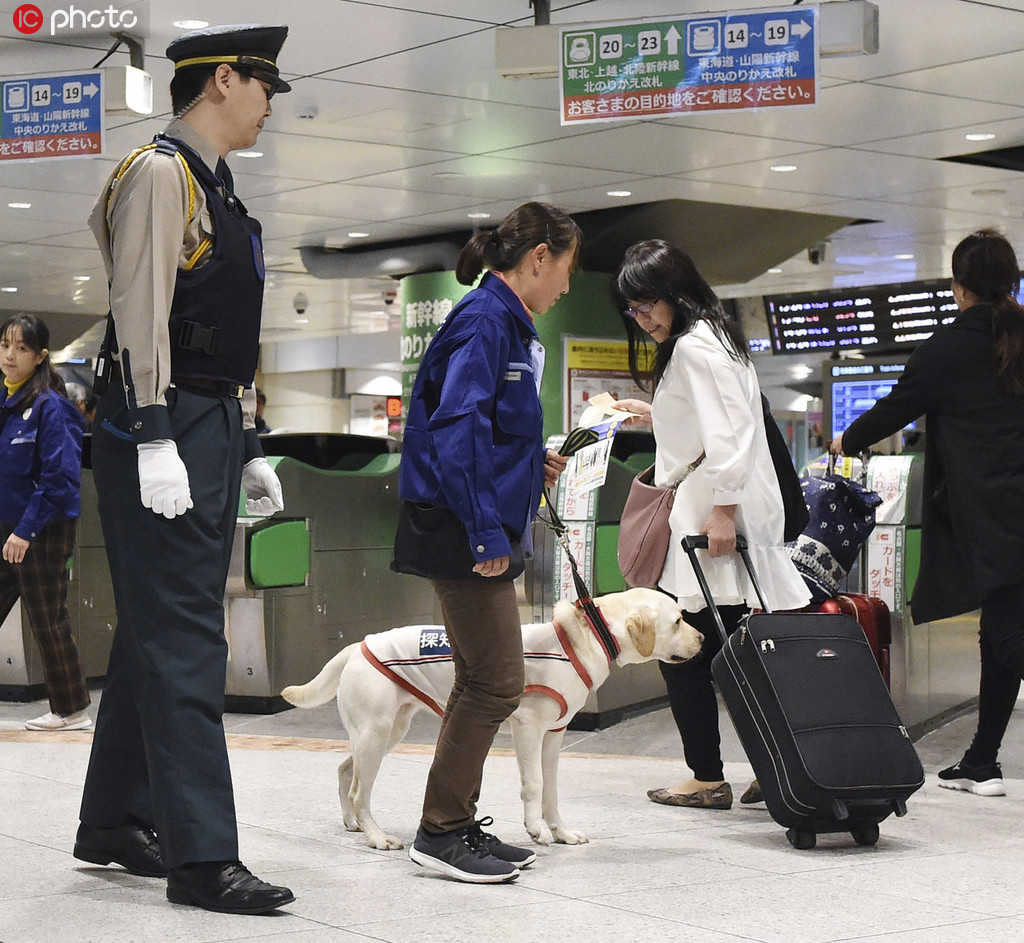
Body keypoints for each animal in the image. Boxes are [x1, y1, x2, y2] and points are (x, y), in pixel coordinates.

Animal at [282, 585, 704, 851]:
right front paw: (535, 830)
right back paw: (376, 836)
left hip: (387, 732)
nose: (702, 639)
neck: (590, 635)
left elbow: (552, 790)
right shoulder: (528, 727)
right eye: (678, 621)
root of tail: (359, 644)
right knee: (359, 790)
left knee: (344, 771)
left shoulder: (555, 735)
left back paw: (353, 823)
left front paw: (561, 832)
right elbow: (534, 784)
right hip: (376, 732)